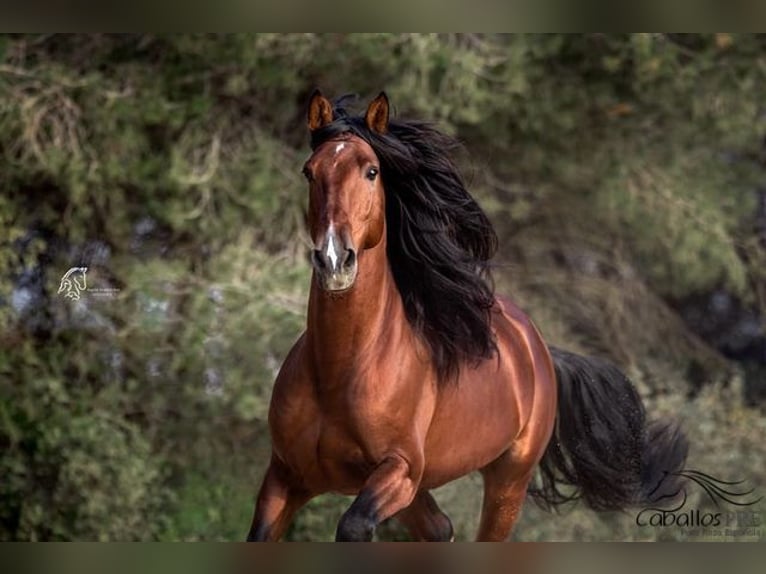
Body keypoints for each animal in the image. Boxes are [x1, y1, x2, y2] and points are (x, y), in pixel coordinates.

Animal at [248, 90, 688, 544]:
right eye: (309, 172)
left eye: (371, 171)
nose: (335, 260)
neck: (340, 372)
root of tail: (539, 349)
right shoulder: (284, 476)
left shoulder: (399, 471)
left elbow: (353, 526)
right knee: (440, 529)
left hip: (506, 480)